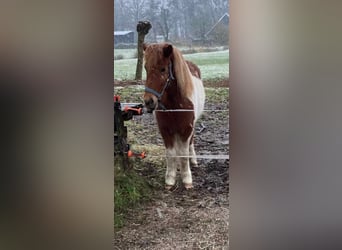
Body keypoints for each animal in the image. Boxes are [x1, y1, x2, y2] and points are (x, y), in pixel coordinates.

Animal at [142, 43, 204, 189]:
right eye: (146, 68)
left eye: (163, 69)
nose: (148, 101)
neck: (175, 104)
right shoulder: (165, 130)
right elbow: (171, 154)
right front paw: (170, 180)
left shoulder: (186, 129)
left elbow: (184, 154)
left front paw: (187, 180)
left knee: (190, 143)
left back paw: (193, 161)